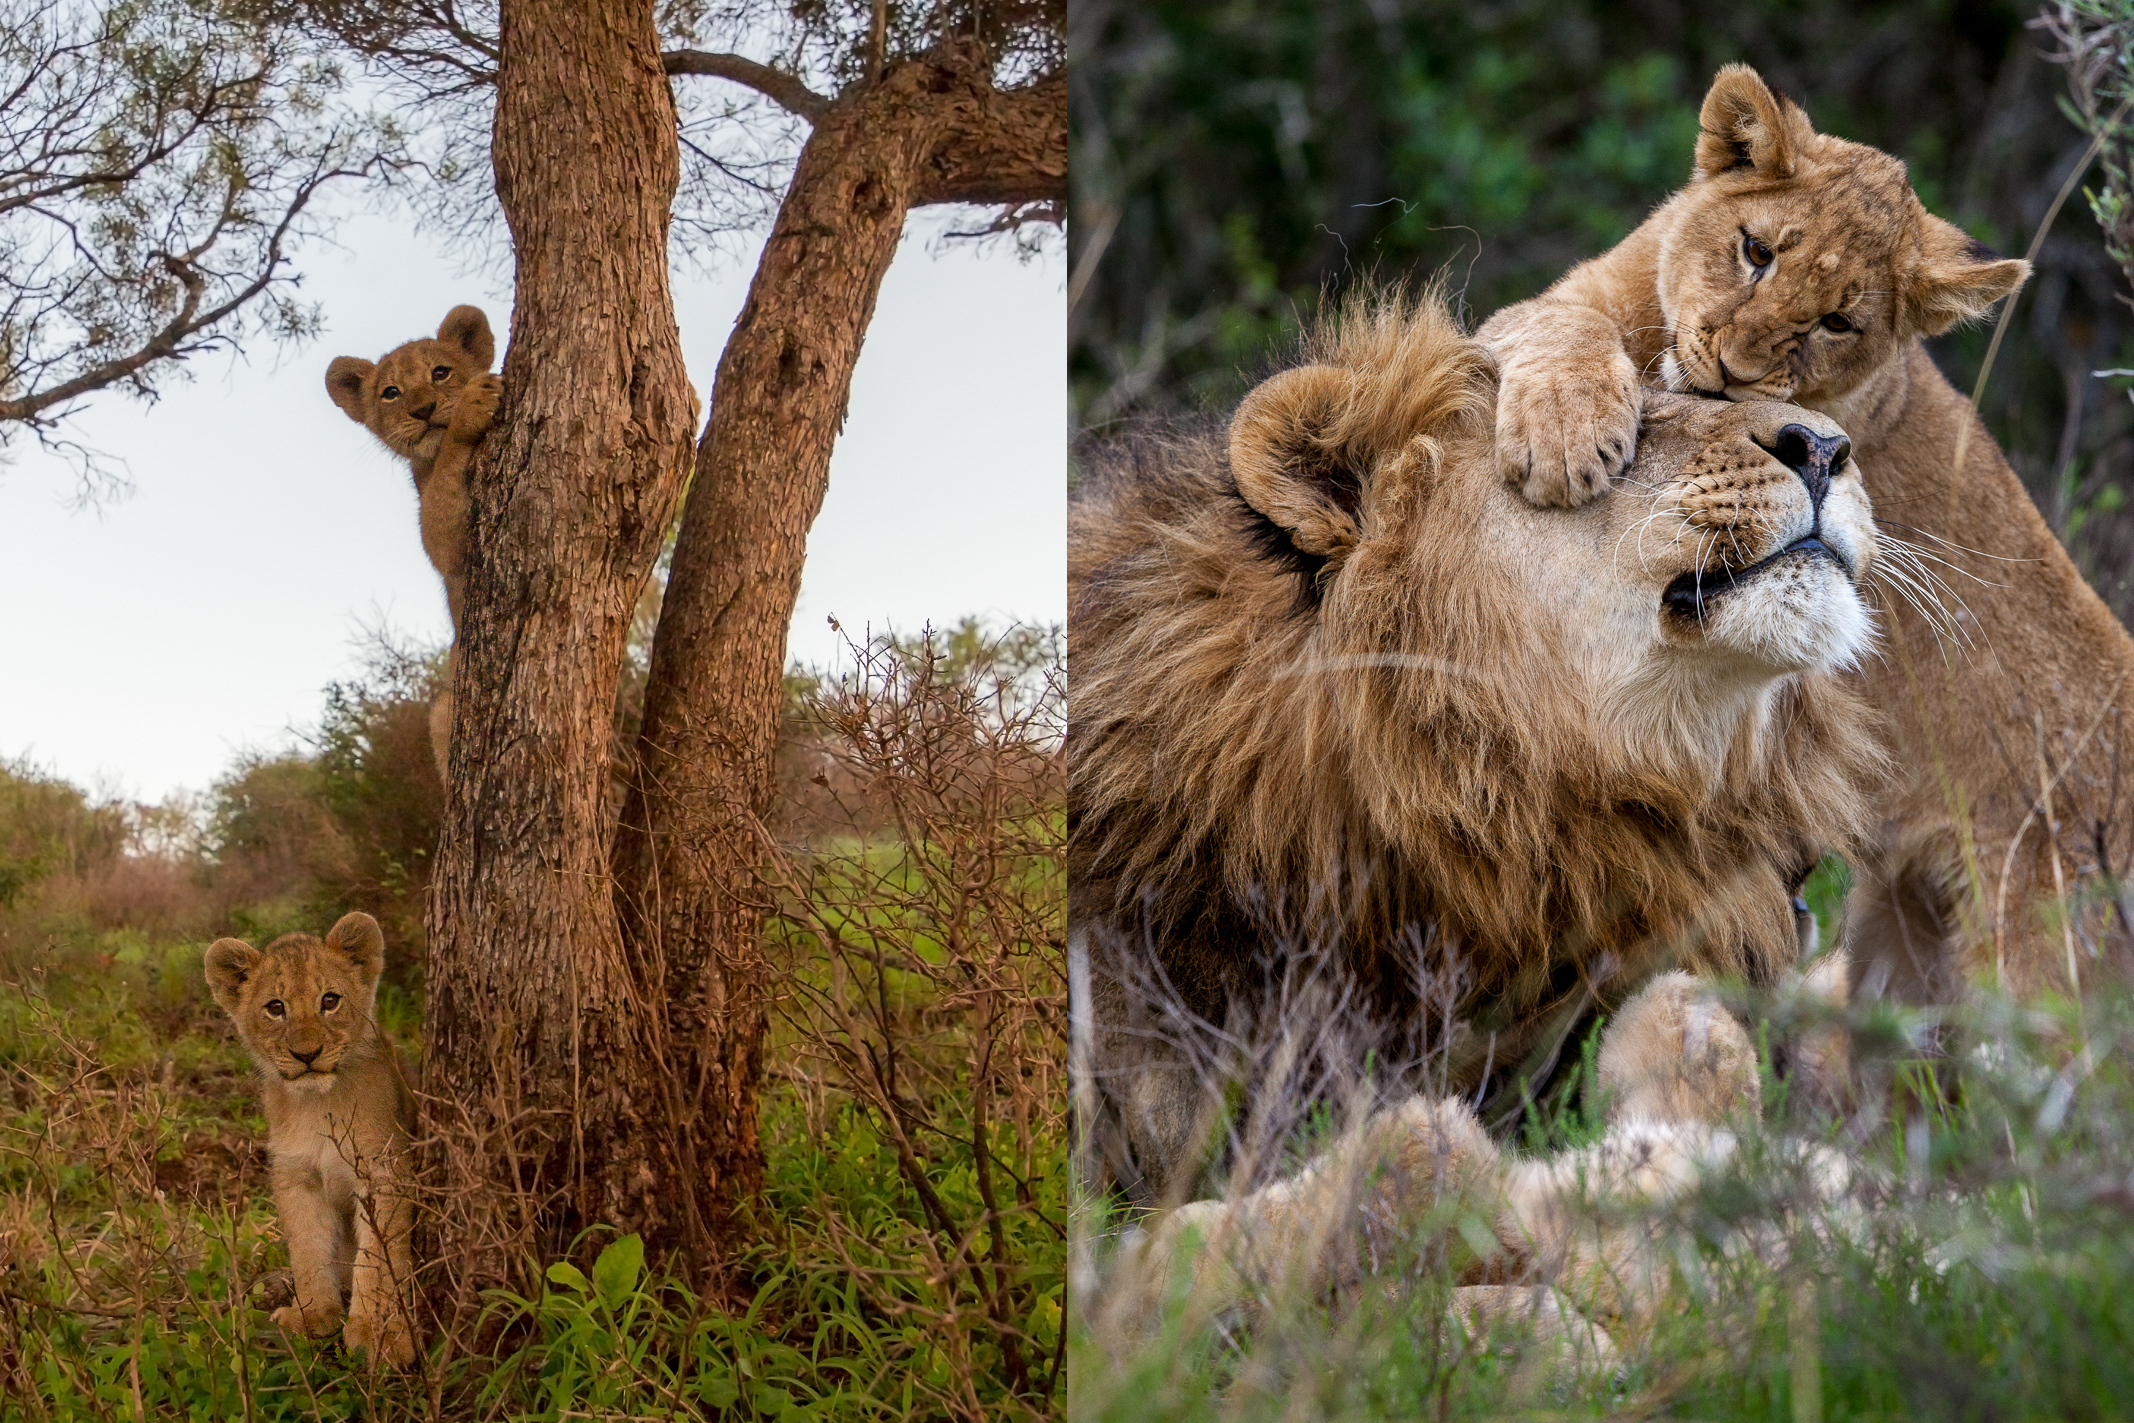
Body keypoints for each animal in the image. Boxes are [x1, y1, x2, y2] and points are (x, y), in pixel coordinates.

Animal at [205, 913, 422, 1365]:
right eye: (276, 1008)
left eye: (330, 1000)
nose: (307, 1054)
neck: (317, 1104)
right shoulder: (296, 1174)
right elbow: (307, 1248)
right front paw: (314, 1316)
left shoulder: (384, 1171)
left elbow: (379, 1259)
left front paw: (378, 1333)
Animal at [326, 305, 501, 785]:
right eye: (391, 393)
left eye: (440, 372)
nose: (423, 410)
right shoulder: (449, 552)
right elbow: (444, 492)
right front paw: (471, 409)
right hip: (444, 709)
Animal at [1476, 64, 2134, 1002]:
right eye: (1757, 250)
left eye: (1838, 323)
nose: (1730, 371)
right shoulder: (1556, 305)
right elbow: (1557, 323)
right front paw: (1566, 434)